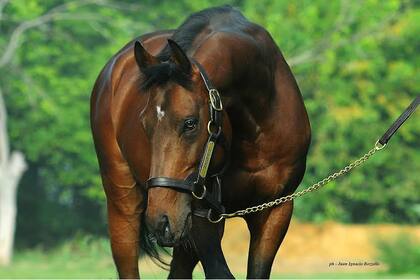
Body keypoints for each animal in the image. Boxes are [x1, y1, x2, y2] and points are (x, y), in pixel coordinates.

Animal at [90, 5, 310, 278]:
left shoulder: (276, 209)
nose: (160, 220)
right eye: (144, 123)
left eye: (190, 123)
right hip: (127, 205)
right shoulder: (201, 213)